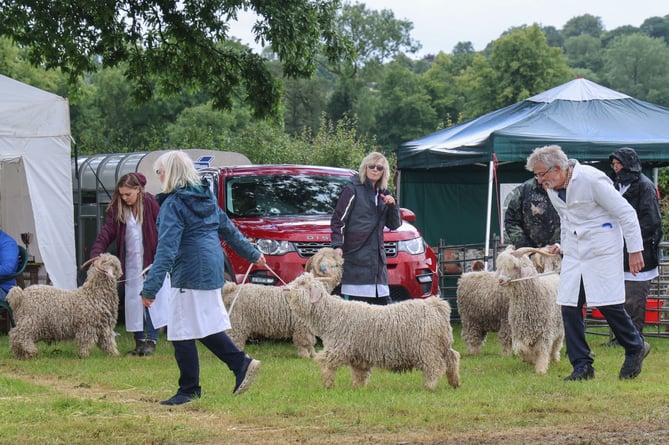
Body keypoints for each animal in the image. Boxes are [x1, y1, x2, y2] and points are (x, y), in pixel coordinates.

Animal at [282, 272, 460, 390]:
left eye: (303, 284)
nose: (286, 289)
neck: (333, 314)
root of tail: (437, 306)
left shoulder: (339, 347)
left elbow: (328, 364)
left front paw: (327, 384)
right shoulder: (358, 354)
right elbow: (359, 372)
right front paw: (357, 388)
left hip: (427, 347)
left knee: (435, 366)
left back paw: (429, 386)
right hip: (441, 344)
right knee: (452, 359)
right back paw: (455, 382)